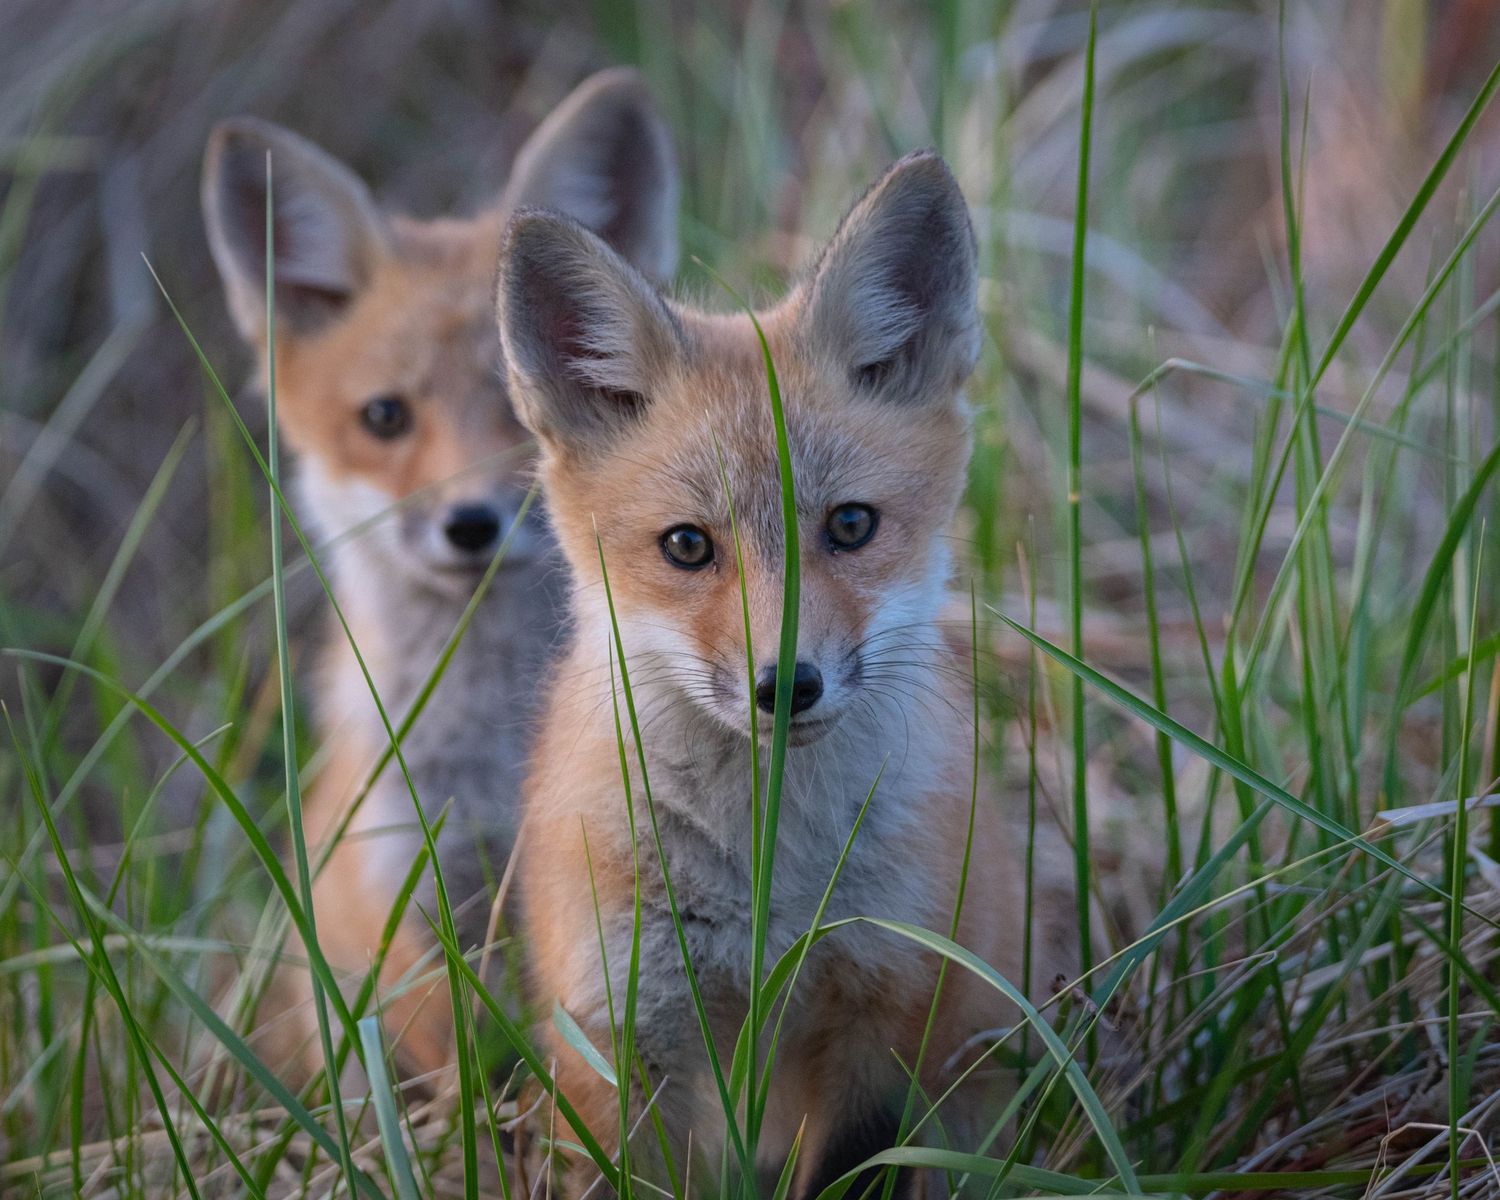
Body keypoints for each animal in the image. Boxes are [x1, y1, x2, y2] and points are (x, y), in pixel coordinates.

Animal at [201, 68, 680, 1082]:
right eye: (385, 418)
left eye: (518, 412)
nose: (471, 524)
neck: (492, 748)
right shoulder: (408, 912)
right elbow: (460, 1068)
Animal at [495, 151, 1074, 1197]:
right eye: (687, 546)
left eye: (850, 525)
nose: (786, 685)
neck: (770, 881)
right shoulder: (618, 1038)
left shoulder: (885, 1018)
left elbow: (855, 1166)